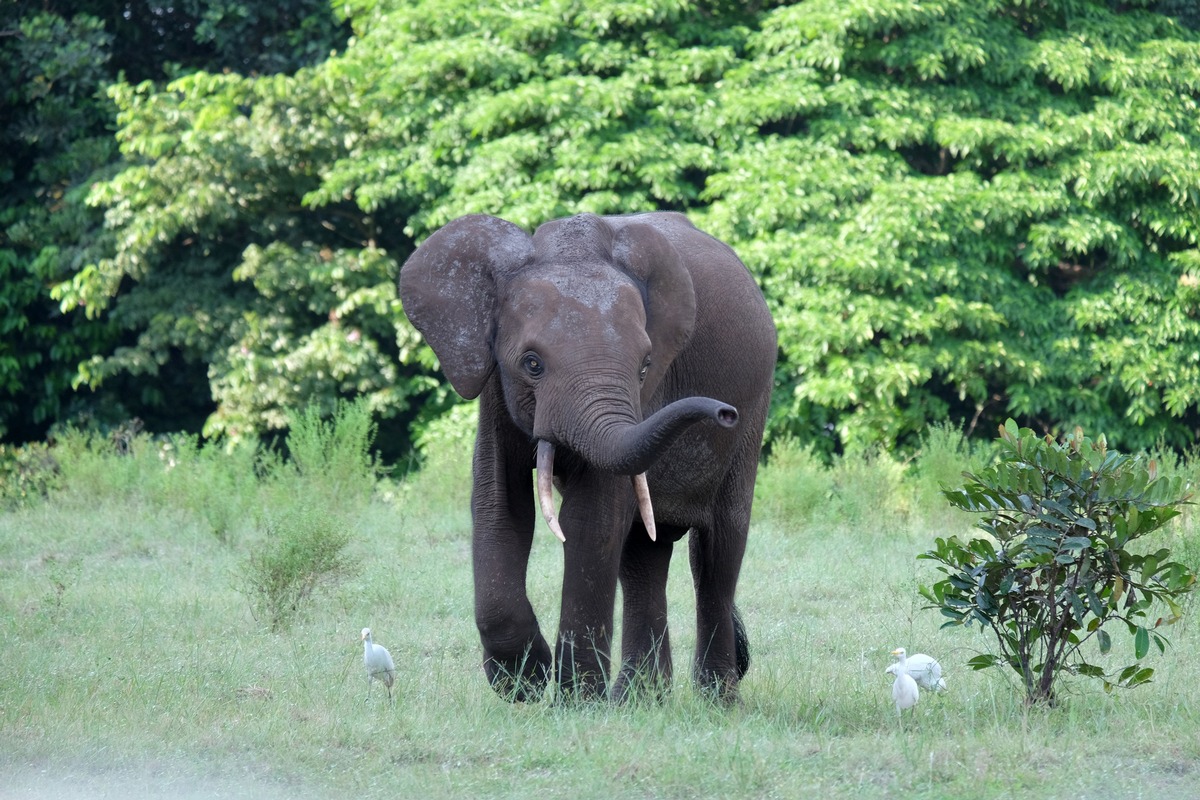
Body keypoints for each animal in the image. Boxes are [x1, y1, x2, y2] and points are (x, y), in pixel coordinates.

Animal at [400, 212, 777, 705]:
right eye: (532, 364)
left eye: (645, 366)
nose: (723, 412)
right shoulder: (495, 384)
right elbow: (499, 505)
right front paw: (526, 681)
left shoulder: (646, 398)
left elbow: (591, 519)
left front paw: (574, 701)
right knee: (643, 556)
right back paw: (639, 700)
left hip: (753, 416)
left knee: (717, 552)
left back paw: (715, 703)